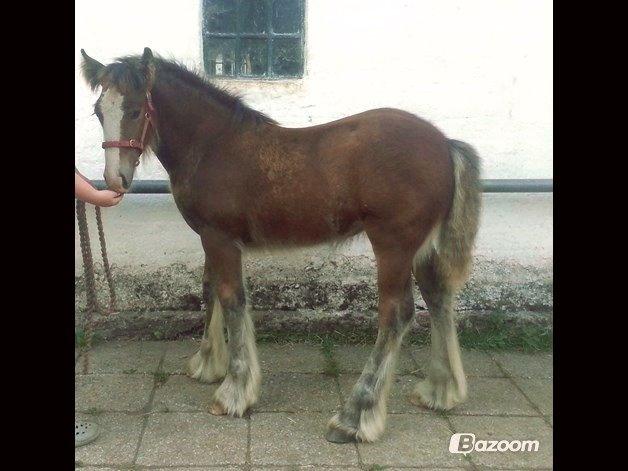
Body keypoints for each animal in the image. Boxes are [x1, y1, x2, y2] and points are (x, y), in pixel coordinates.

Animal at [82, 48, 480, 446]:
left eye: (135, 110)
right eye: (99, 112)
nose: (115, 179)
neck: (212, 146)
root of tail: (445, 145)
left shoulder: (220, 238)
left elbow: (231, 299)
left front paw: (235, 392)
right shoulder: (209, 237)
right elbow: (210, 290)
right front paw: (209, 363)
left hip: (393, 246)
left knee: (396, 314)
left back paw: (354, 416)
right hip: (421, 249)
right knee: (438, 297)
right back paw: (440, 390)